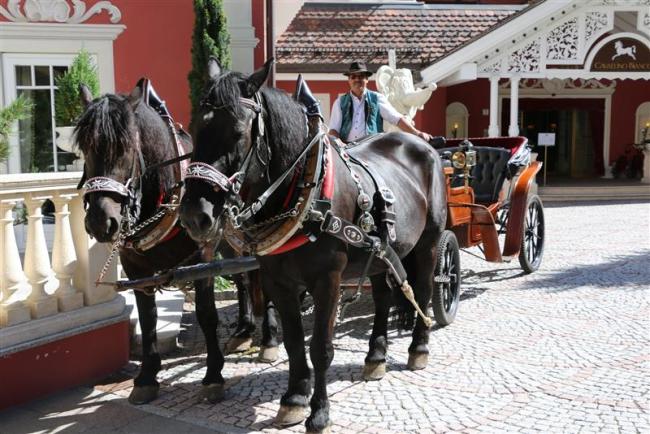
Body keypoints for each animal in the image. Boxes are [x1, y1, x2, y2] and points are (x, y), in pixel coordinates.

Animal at [74, 82, 278, 406]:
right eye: (84, 148)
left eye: (126, 148)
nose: (100, 221)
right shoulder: (136, 268)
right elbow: (148, 318)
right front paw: (147, 377)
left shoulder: (202, 257)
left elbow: (206, 314)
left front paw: (213, 375)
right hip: (228, 242)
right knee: (243, 279)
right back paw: (244, 330)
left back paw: (269, 340)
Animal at [178, 59, 446, 432]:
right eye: (194, 129)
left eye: (237, 132)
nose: (194, 216)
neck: (306, 188)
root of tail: (422, 144)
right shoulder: (278, 280)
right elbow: (293, 343)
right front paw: (294, 398)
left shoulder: (327, 281)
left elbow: (320, 347)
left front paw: (319, 412)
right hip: (380, 254)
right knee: (382, 298)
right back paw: (376, 355)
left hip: (429, 244)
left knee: (422, 290)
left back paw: (419, 348)